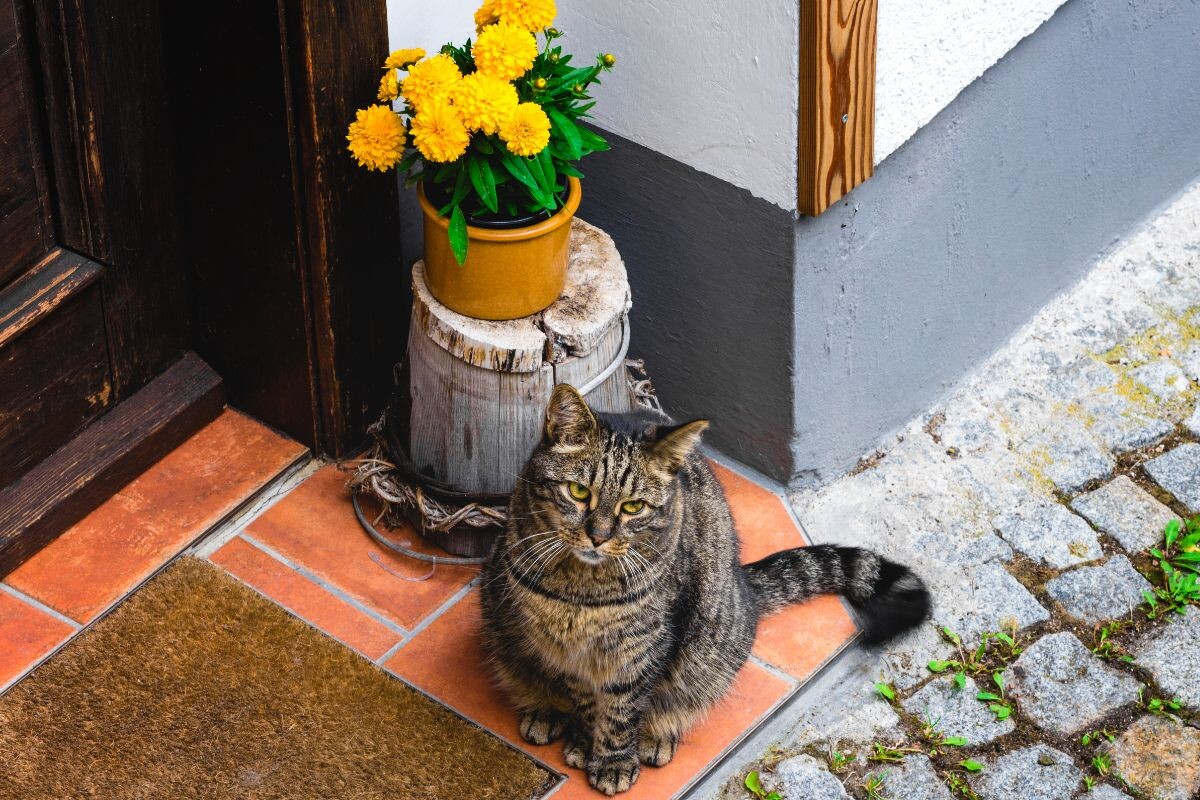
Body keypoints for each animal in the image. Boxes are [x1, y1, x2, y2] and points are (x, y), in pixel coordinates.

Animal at [482, 386, 931, 796]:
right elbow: (587, 702)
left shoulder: (643, 649)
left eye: (633, 507)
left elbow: (623, 709)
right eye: (578, 492)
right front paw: (584, 737)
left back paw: (655, 736)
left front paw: (612, 760)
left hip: (708, 651)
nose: (598, 536)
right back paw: (546, 712)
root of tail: (742, 584)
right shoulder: (565, 650)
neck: (582, 592)